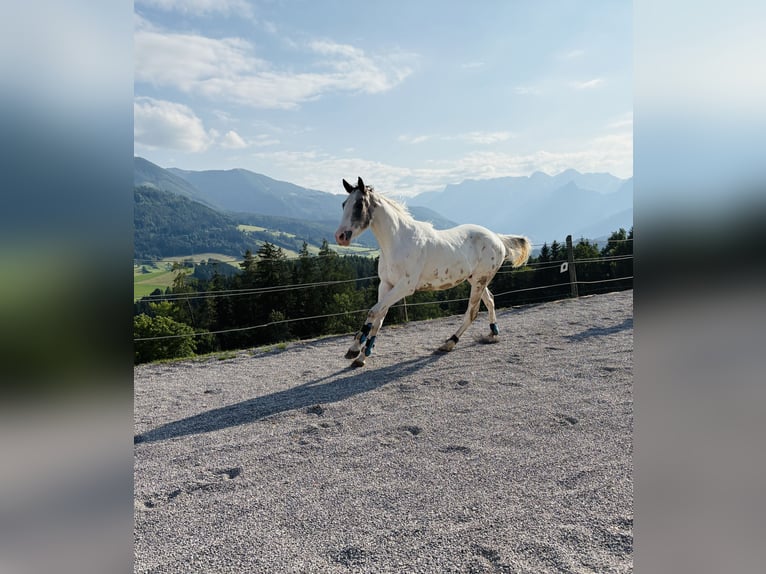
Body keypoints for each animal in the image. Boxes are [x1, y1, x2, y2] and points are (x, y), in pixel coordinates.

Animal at [334, 177, 531, 366]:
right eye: (344, 204)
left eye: (359, 204)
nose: (340, 236)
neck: (398, 242)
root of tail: (497, 238)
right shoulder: (386, 284)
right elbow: (379, 317)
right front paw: (362, 356)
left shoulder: (405, 287)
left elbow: (373, 312)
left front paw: (354, 350)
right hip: (476, 279)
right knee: (490, 301)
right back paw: (493, 334)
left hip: (479, 280)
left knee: (472, 312)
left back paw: (449, 343)